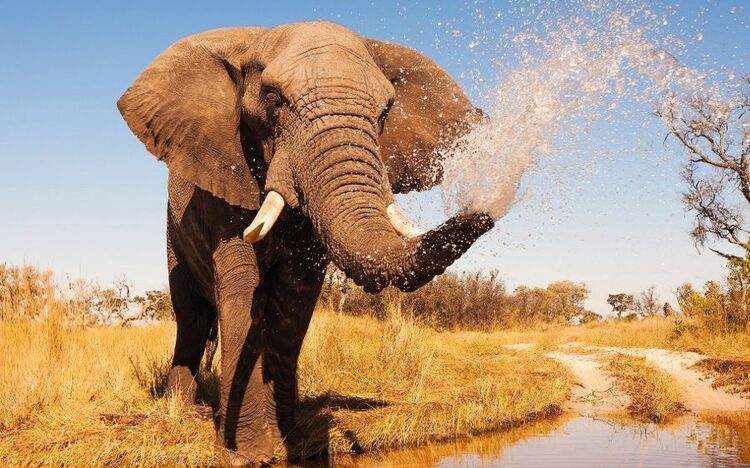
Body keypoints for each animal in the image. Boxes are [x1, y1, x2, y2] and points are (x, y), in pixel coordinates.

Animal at [117, 21, 494, 465]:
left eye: (385, 112)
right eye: (273, 99)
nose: (489, 205)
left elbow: (294, 295)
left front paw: (289, 440)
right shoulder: (224, 178)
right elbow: (242, 287)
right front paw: (246, 454)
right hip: (173, 233)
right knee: (190, 315)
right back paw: (181, 408)